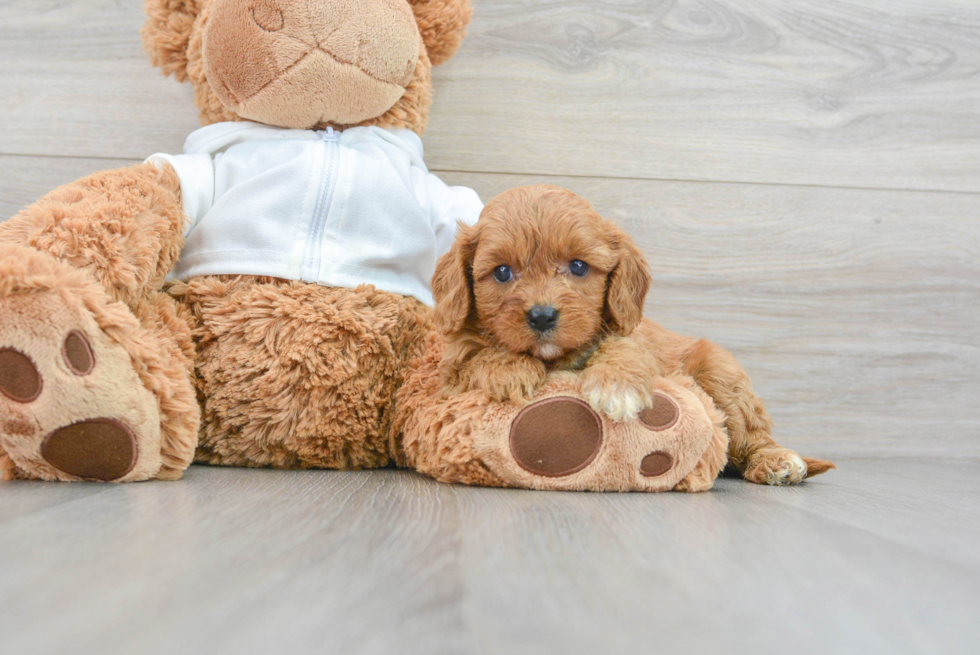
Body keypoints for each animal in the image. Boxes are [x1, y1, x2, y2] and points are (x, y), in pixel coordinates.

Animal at [434, 186, 836, 486]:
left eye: (578, 266)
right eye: (502, 272)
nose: (542, 315)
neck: (556, 358)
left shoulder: (632, 335)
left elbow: (622, 347)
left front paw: (617, 386)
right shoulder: (450, 370)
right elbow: (475, 355)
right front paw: (508, 369)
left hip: (723, 375)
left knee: (750, 437)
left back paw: (777, 461)